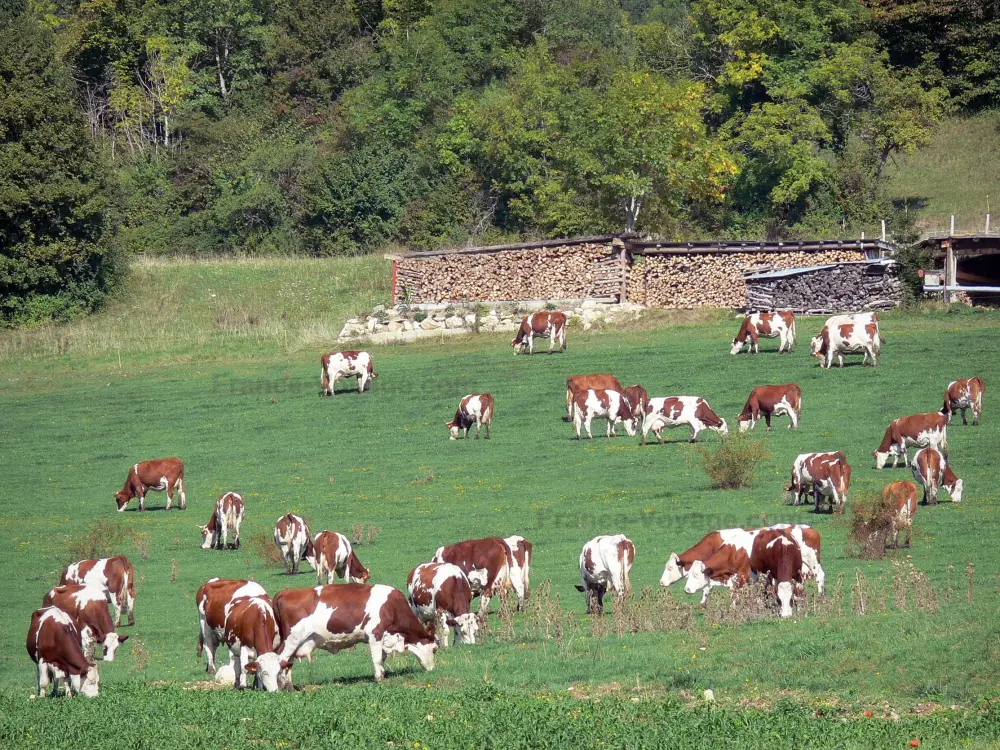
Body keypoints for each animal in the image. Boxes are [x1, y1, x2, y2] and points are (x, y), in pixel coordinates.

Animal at [274, 588, 434, 688]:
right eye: (435, 649)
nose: (432, 669)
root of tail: (287, 591)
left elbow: (382, 658)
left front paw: (382, 673)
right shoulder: (375, 634)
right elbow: (377, 658)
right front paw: (379, 678)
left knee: (288, 662)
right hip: (292, 639)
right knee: (280, 660)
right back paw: (281, 687)